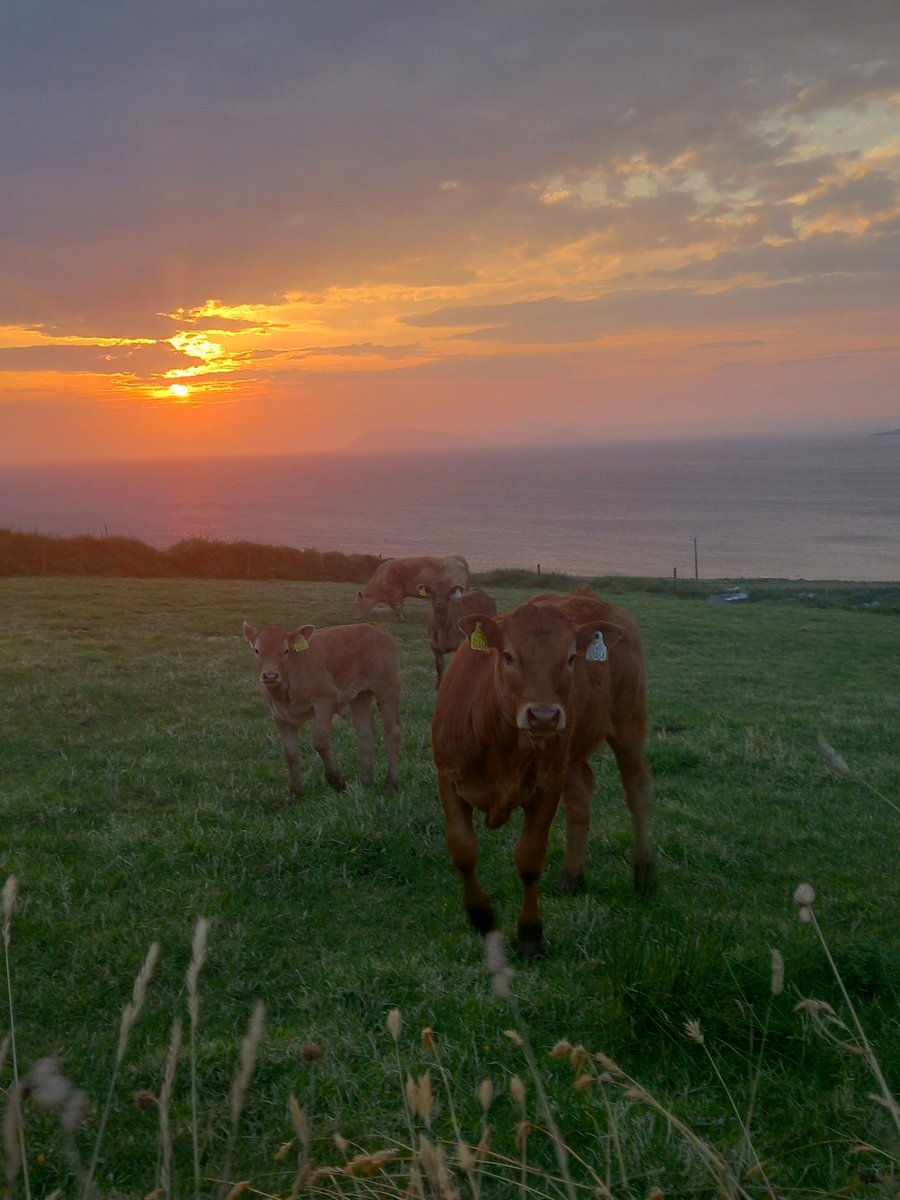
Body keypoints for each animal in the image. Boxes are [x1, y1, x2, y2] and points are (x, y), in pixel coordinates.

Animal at [244, 624, 403, 801]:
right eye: (257, 650)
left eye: (285, 651)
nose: (270, 675)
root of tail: (374, 627)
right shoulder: (279, 715)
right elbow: (290, 753)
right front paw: (295, 793)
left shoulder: (327, 699)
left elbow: (319, 740)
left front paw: (337, 781)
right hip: (360, 696)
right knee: (365, 733)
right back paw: (365, 782)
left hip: (388, 687)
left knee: (392, 732)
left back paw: (390, 784)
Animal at [432, 583, 657, 955]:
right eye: (508, 656)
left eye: (570, 658)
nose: (543, 716)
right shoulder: (448, 777)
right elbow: (462, 848)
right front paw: (481, 915)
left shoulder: (547, 786)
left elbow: (529, 859)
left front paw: (530, 935)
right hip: (573, 751)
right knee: (582, 791)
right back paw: (572, 877)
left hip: (629, 721)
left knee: (637, 788)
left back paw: (644, 873)